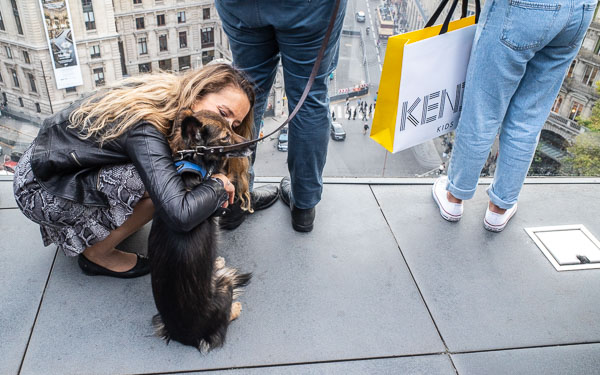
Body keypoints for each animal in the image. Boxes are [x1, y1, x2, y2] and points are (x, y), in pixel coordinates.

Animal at [151, 109, 254, 352]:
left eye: (233, 128)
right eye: (225, 137)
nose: (252, 147)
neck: (193, 168)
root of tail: (185, 337)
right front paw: (216, 262)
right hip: (225, 286)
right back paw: (234, 308)